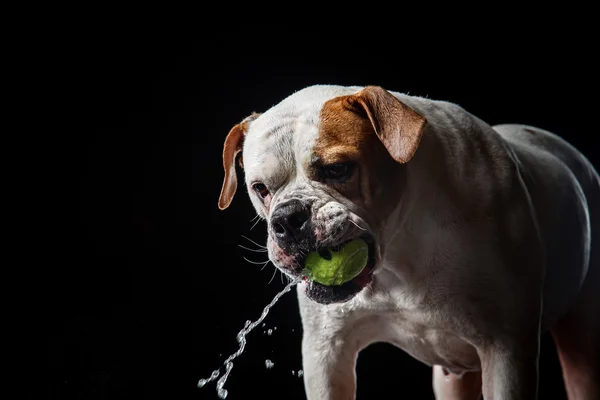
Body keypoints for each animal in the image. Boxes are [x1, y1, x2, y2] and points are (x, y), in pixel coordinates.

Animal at [218, 85, 596, 400]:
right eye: (260, 189)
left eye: (338, 170)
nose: (287, 218)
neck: (399, 252)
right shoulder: (326, 355)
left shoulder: (507, 351)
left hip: (581, 346)